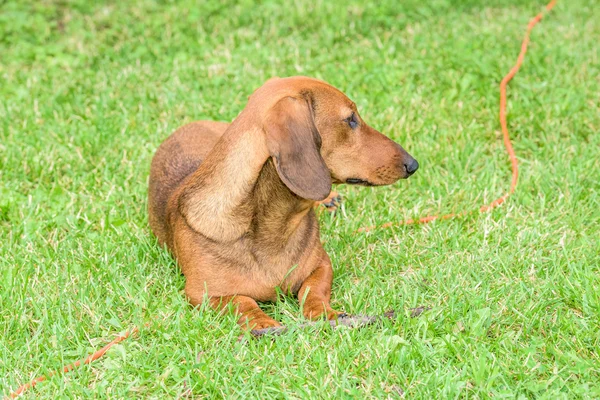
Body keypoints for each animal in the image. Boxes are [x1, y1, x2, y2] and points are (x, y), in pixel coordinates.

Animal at [148, 75, 420, 332]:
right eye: (351, 119)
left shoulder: (322, 265)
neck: (274, 226)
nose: (413, 164)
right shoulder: (202, 294)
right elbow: (242, 301)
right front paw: (261, 323)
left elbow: (313, 290)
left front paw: (326, 314)